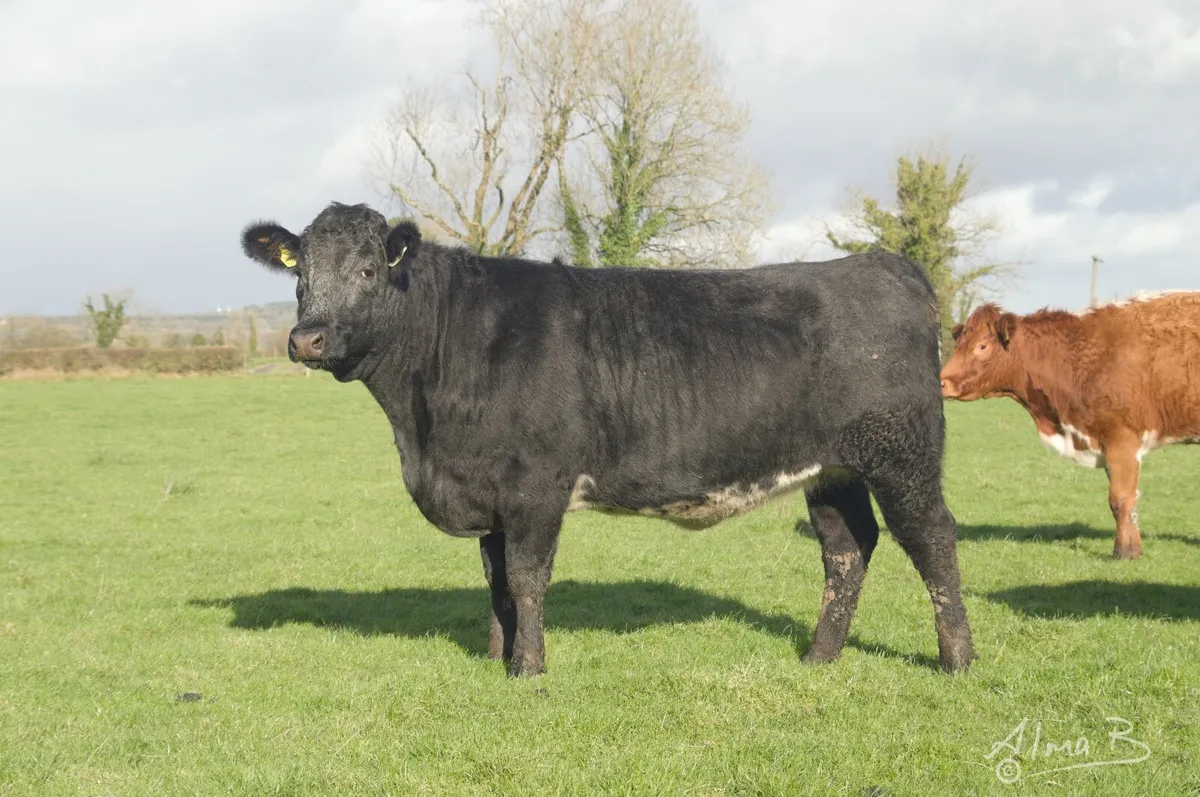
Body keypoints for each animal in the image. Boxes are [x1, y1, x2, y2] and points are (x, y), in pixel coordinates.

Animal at [239, 201, 976, 676]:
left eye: (367, 270)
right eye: (300, 274)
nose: (307, 338)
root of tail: (883, 265)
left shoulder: (536, 484)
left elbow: (527, 577)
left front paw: (529, 669)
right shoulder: (489, 490)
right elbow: (495, 579)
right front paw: (494, 658)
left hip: (902, 455)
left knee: (932, 540)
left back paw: (957, 659)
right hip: (830, 469)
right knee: (847, 549)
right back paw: (820, 657)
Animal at [940, 293, 1200, 559]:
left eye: (982, 346)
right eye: (959, 344)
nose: (942, 382)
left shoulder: (1122, 440)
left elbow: (1121, 500)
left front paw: (1124, 552)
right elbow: (1129, 501)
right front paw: (1133, 549)